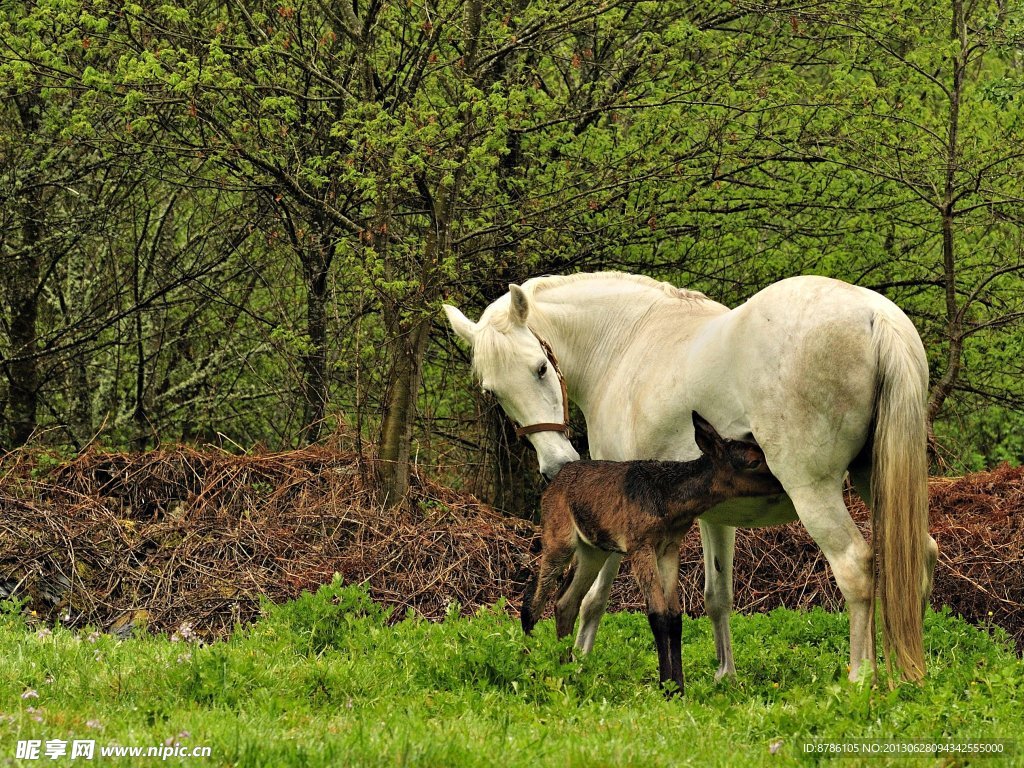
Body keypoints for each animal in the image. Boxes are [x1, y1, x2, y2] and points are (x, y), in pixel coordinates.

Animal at [444, 274, 937, 684]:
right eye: (492, 390)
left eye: (541, 368)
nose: (557, 465)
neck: (624, 343)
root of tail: (874, 315)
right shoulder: (715, 517)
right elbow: (717, 595)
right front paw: (724, 676)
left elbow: (593, 598)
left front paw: (579, 661)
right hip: (876, 485)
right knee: (920, 557)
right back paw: (906, 672)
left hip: (814, 494)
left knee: (855, 567)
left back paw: (860, 678)